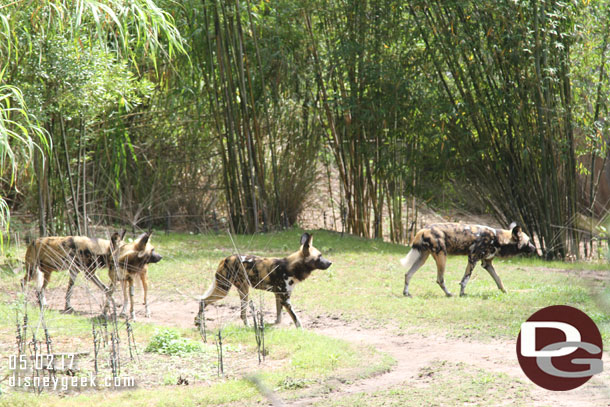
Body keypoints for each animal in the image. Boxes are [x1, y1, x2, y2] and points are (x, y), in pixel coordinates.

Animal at [195, 233, 330, 328]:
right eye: (319, 257)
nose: (330, 263)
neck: (290, 267)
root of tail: (225, 259)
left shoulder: (278, 296)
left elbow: (279, 316)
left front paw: (274, 324)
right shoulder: (285, 299)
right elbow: (296, 319)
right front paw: (301, 330)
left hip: (243, 292)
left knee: (241, 313)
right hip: (225, 290)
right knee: (203, 301)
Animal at [402, 225, 536, 298]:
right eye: (529, 241)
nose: (535, 248)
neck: (497, 239)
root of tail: (424, 229)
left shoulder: (487, 264)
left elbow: (498, 280)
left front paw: (505, 292)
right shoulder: (473, 258)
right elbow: (465, 280)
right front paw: (462, 294)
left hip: (423, 258)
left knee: (408, 274)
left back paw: (406, 293)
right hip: (442, 257)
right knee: (440, 279)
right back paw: (449, 294)